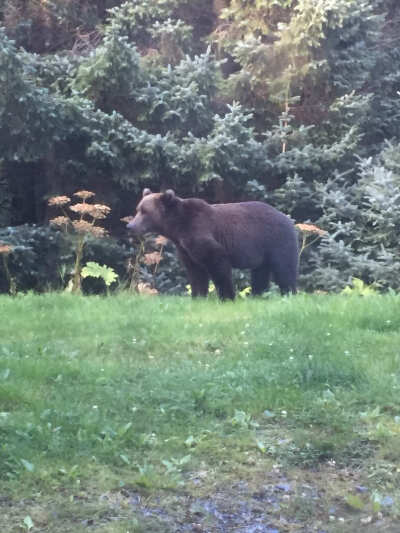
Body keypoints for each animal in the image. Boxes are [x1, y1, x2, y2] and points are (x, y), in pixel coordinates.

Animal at [126, 189, 298, 300]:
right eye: (137, 209)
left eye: (145, 212)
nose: (130, 226)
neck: (177, 228)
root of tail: (287, 217)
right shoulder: (184, 248)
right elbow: (195, 271)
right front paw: (198, 296)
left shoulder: (200, 232)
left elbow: (217, 262)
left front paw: (227, 297)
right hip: (262, 251)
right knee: (260, 272)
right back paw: (258, 295)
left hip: (276, 240)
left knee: (285, 268)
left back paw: (289, 293)